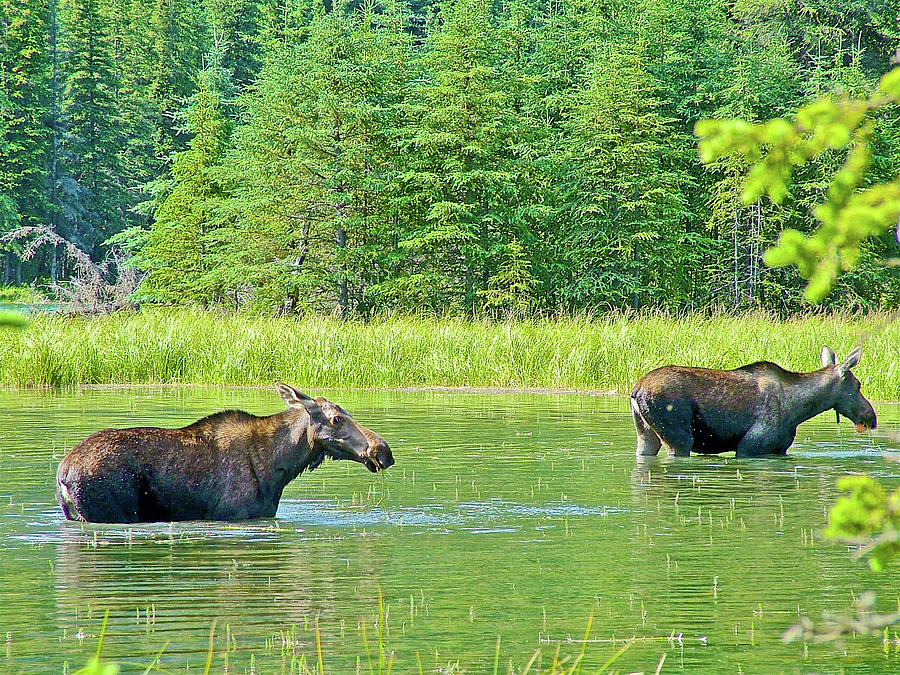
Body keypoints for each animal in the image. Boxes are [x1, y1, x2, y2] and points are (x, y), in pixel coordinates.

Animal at [55, 382, 394, 524]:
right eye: (337, 419)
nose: (383, 451)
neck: (279, 467)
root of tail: (63, 474)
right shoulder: (235, 514)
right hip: (111, 512)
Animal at [628, 344, 876, 460]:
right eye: (858, 385)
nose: (871, 417)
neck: (799, 409)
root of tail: (635, 390)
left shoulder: (779, 449)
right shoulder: (750, 446)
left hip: (645, 434)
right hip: (678, 437)